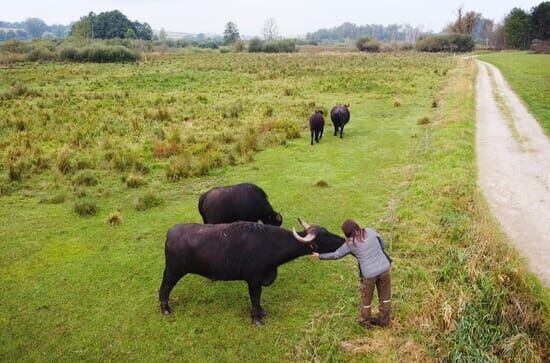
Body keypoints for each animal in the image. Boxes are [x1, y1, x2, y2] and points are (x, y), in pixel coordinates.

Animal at [157, 219, 344, 328]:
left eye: (327, 230)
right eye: (324, 237)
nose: (343, 240)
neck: (271, 244)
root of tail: (170, 233)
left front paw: (261, 312)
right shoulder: (254, 280)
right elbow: (255, 298)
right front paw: (257, 319)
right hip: (173, 271)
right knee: (164, 288)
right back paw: (165, 309)